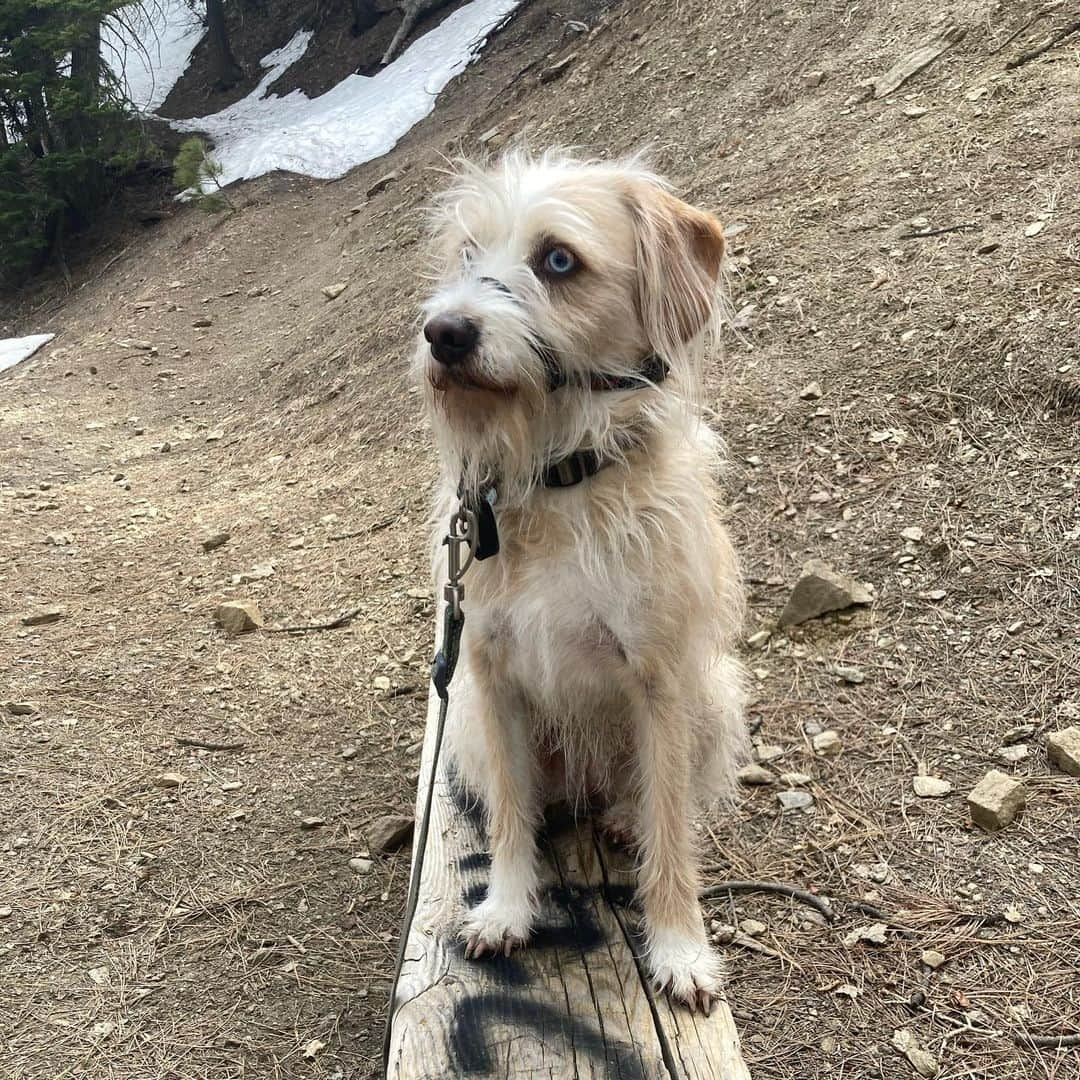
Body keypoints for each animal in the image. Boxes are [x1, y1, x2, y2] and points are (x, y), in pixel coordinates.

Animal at [408, 150, 747, 1010]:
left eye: (558, 261)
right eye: (469, 252)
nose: (444, 332)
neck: (559, 482)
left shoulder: (662, 686)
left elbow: (672, 831)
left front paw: (680, 947)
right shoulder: (491, 679)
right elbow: (509, 816)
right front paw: (507, 907)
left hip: (718, 695)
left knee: (649, 802)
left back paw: (623, 817)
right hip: (466, 720)